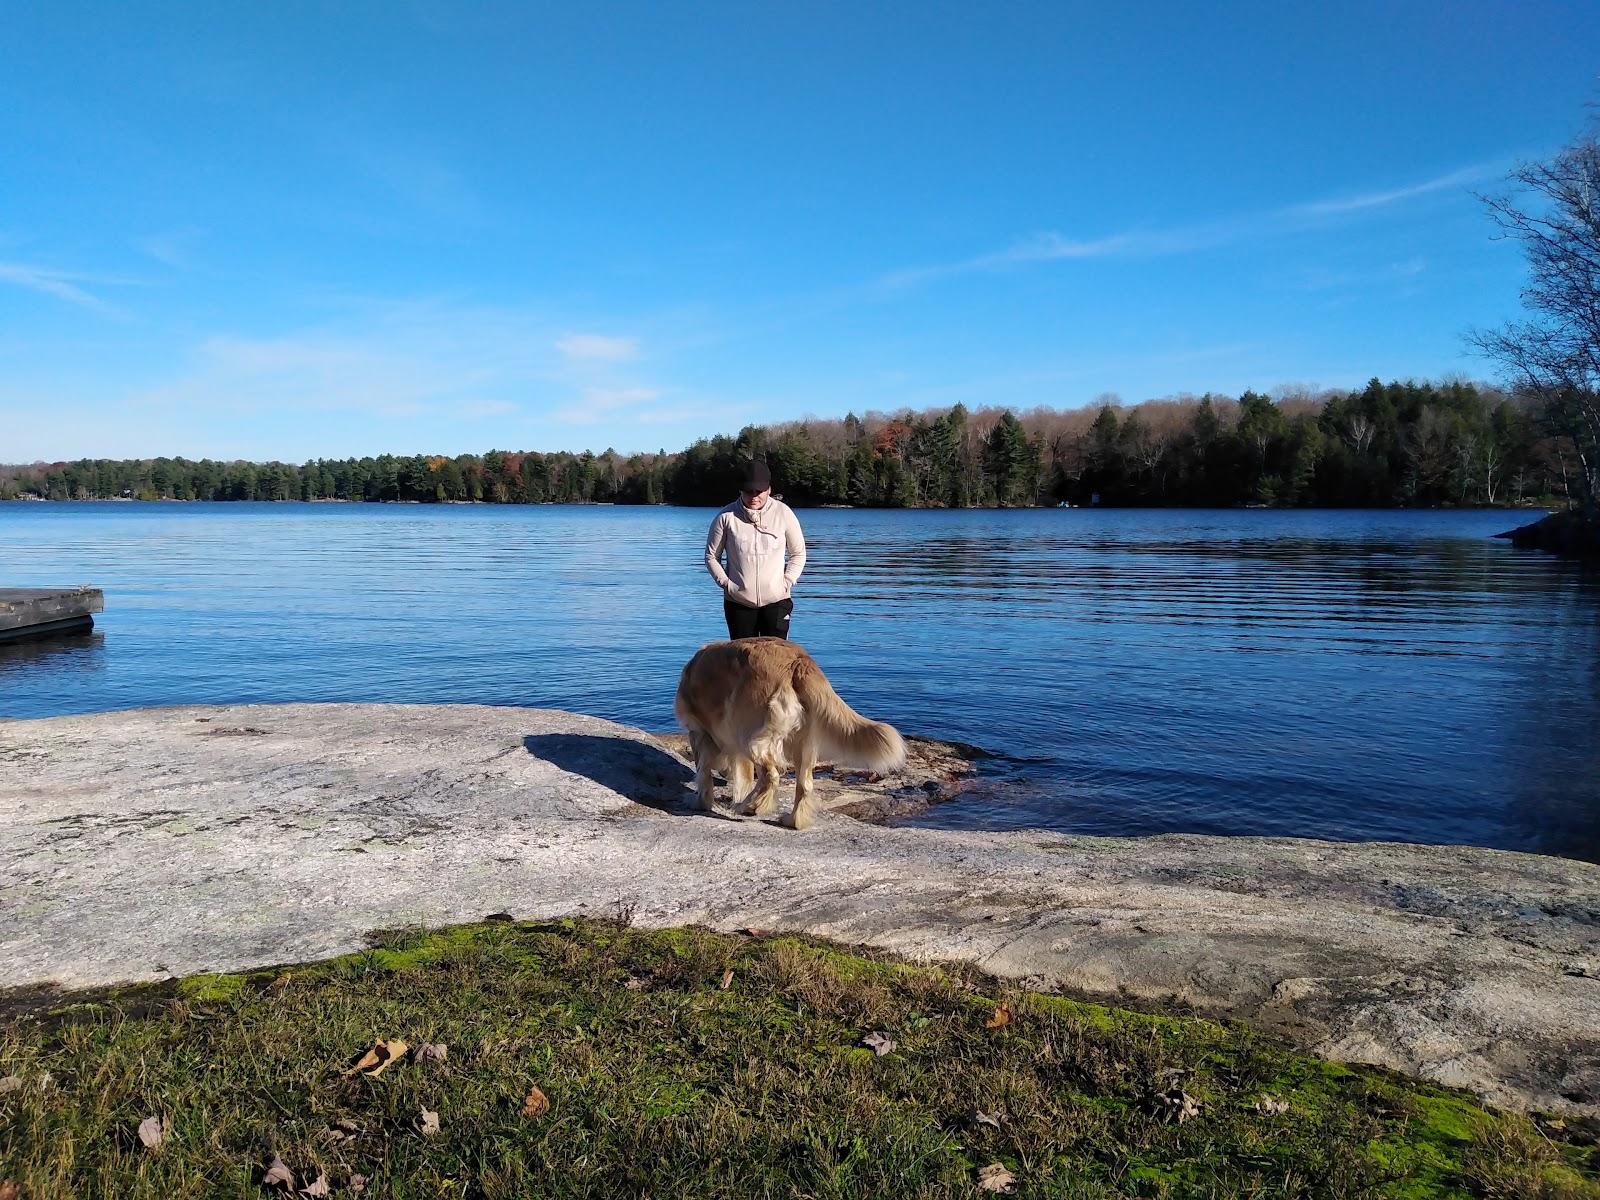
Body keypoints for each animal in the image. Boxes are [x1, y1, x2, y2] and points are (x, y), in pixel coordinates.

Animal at [672, 643, 908, 832]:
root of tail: (799, 661)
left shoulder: (700, 733)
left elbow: (703, 773)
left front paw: (700, 802)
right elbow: (743, 776)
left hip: (750, 735)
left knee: (771, 775)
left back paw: (750, 807)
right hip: (802, 743)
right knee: (804, 785)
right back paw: (792, 820)